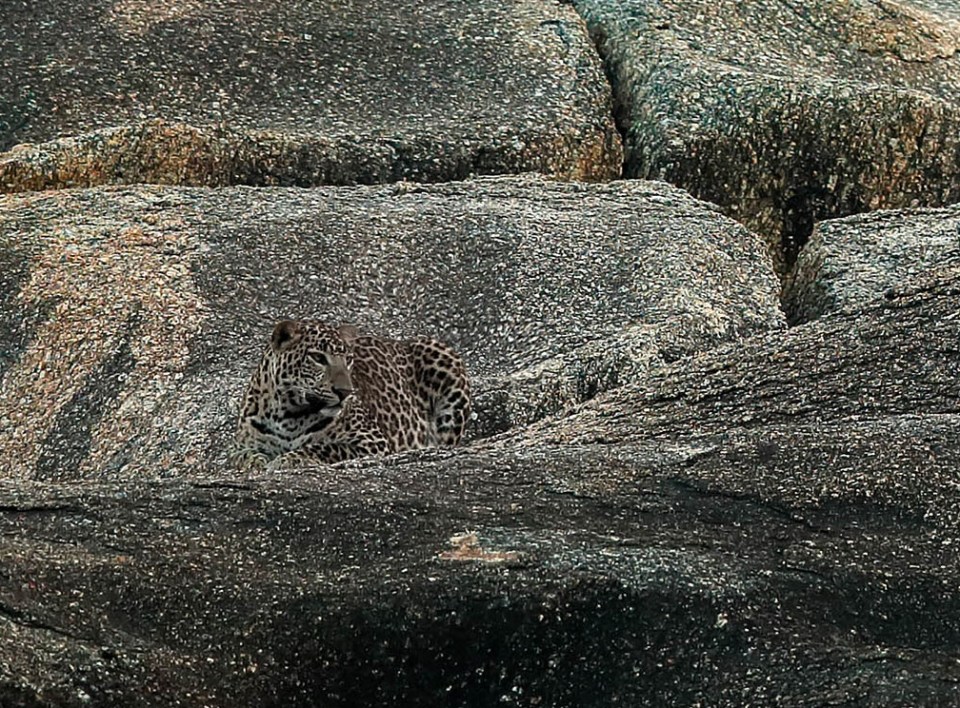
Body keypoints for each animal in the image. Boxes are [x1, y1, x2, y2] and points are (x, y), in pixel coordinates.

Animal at [232, 320, 472, 464]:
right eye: (318, 358)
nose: (345, 391)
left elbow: (325, 447)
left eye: (348, 360)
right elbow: (243, 456)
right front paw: (256, 463)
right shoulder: (243, 444)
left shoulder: (372, 441)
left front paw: (289, 459)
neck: (289, 413)